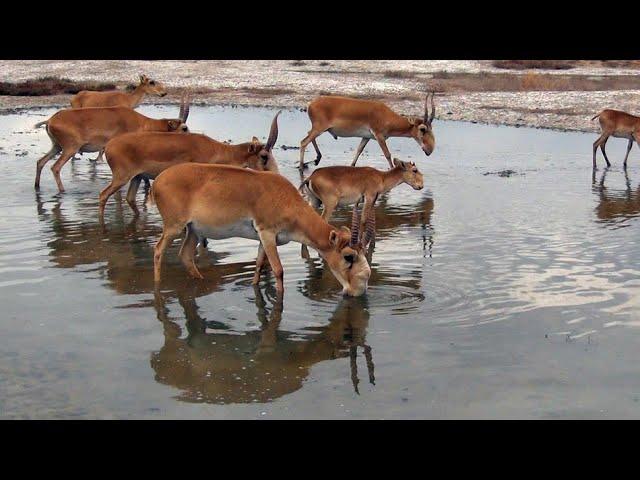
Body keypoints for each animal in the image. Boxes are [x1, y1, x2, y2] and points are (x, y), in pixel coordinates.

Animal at [33, 94, 190, 192]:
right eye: (184, 128)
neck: (142, 123)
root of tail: (50, 120)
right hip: (69, 149)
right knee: (55, 167)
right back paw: (62, 191)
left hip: (56, 147)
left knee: (40, 162)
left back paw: (37, 187)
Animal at [99, 110, 280, 216]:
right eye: (264, 156)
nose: (276, 175)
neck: (216, 149)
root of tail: (108, 146)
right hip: (121, 178)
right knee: (103, 195)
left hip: (136, 177)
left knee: (129, 199)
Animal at [148, 163, 372, 296]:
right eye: (349, 256)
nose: (361, 287)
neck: (286, 199)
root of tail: (157, 181)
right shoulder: (267, 233)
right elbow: (278, 270)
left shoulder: (263, 239)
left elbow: (258, 265)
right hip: (174, 226)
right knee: (158, 250)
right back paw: (158, 287)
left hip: (193, 230)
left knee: (185, 255)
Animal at [298, 92, 438, 171]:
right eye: (422, 129)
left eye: (431, 129)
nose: (429, 150)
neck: (385, 115)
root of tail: (311, 104)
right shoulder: (379, 136)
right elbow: (387, 154)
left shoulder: (367, 137)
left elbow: (359, 151)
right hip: (319, 128)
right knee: (303, 142)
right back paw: (301, 167)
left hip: (319, 129)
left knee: (307, 135)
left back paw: (317, 158)